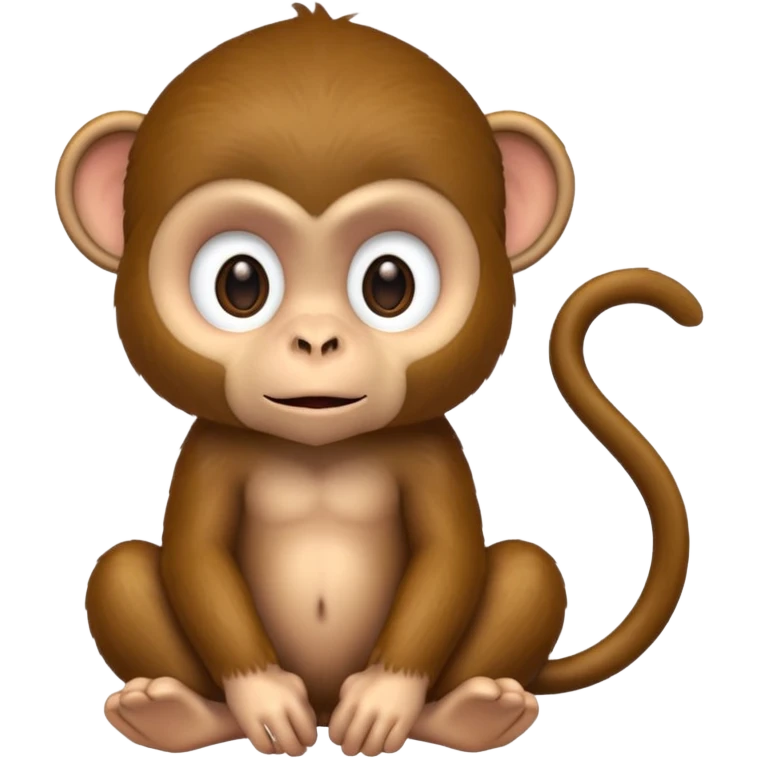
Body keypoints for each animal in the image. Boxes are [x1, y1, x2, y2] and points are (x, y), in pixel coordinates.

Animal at [57, 4, 702, 756]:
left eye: (389, 283)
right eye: (239, 283)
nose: (315, 340)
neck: (320, 452)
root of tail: (324, 704)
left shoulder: (429, 448)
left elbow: (448, 555)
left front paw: (385, 697)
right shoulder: (210, 451)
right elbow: (196, 556)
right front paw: (262, 696)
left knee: (528, 572)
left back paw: (469, 711)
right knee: (120, 571)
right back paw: (178, 711)